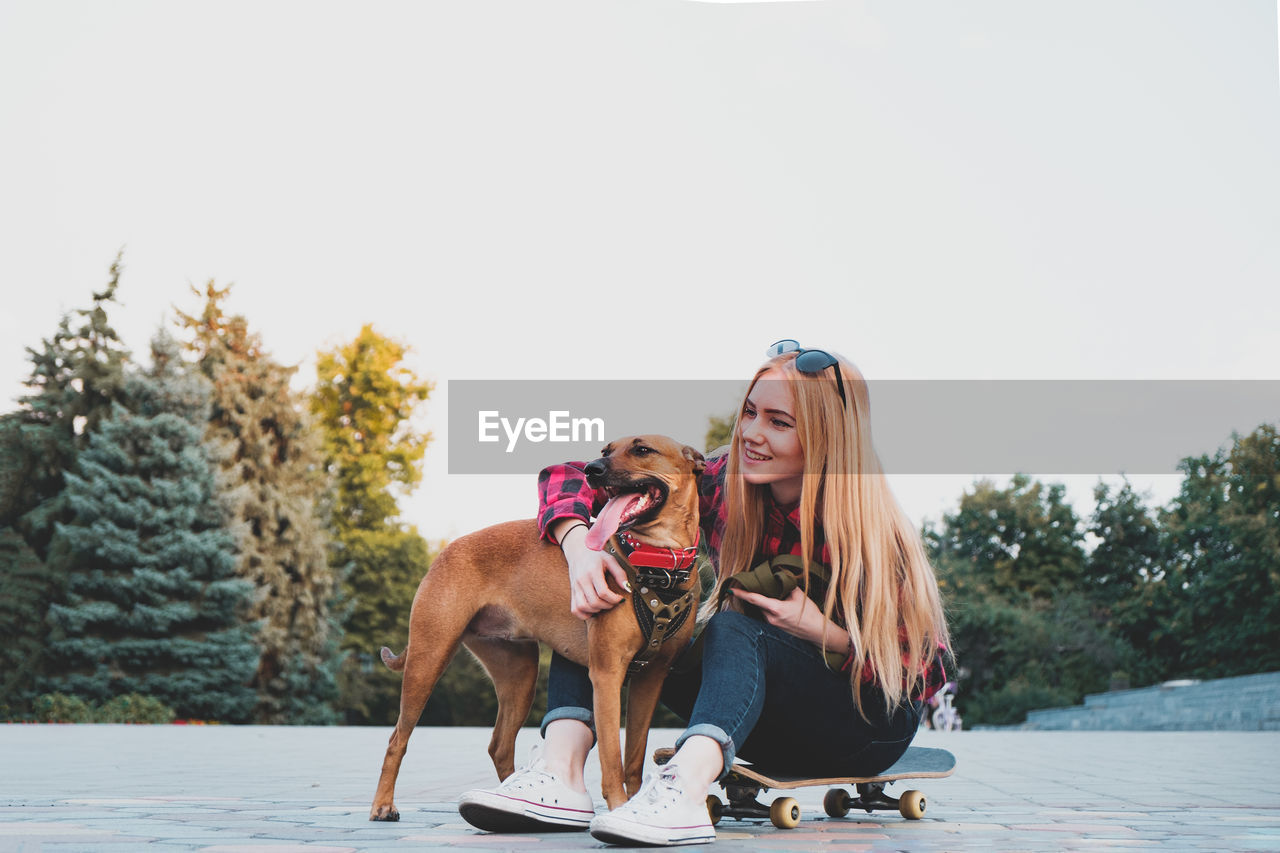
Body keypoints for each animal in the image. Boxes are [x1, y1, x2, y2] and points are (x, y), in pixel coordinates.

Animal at [371, 435, 706, 819]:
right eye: (604, 451)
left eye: (642, 450)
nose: (591, 469)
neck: (660, 563)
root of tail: (444, 551)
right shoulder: (606, 675)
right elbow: (612, 758)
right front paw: (620, 805)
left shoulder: (651, 679)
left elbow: (634, 758)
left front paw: (634, 804)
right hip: (428, 660)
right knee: (397, 739)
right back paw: (383, 804)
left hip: (518, 675)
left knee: (499, 745)